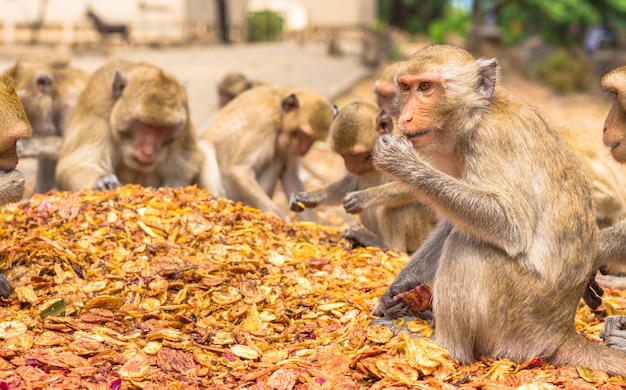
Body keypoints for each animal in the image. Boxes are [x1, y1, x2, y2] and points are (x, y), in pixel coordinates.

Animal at [54, 59, 202, 192]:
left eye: (162, 128)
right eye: (143, 124)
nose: (148, 152)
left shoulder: (183, 127)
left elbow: (182, 168)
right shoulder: (98, 111)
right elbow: (76, 163)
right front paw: (102, 180)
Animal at [200, 84, 336, 219]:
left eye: (314, 140)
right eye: (304, 134)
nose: (303, 151)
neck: (280, 115)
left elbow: (290, 175)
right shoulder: (264, 123)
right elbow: (239, 170)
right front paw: (280, 217)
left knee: (278, 159)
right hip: (229, 194)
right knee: (206, 147)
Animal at [368, 44, 624, 376]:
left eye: (425, 87)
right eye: (406, 87)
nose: (406, 117)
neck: (476, 116)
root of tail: (560, 331)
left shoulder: (491, 138)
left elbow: (507, 224)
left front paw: (400, 162)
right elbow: (454, 223)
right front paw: (398, 289)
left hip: (517, 321)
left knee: (470, 244)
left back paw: (446, 348)